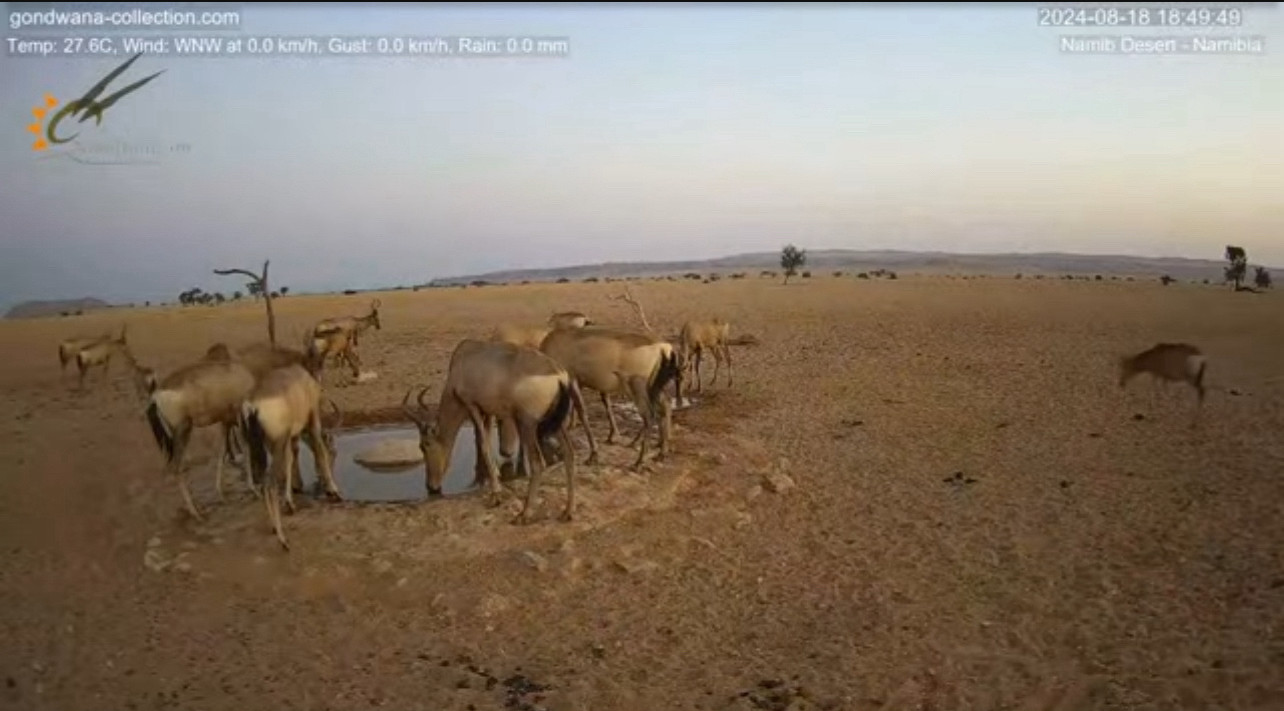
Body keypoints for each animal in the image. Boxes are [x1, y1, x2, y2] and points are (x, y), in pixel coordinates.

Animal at [145, 356, 258, 518]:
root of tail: (155, 397)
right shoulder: (238, 414)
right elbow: (246, 446)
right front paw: (253, 489)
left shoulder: (226, 421)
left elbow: (222, 452)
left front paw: (221, 494)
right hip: (183, 430)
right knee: (175, 467)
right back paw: (197, 514)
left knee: (168, 468)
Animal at [240, 361, 344, 544]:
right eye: (334, 452)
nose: (321, 483)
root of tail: (252, 405)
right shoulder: (312, 421)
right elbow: (319, 450)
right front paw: (334, 491)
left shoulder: (290, 437)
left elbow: (291, 459)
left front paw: (291, 499)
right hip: (277, 442)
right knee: (269, 481)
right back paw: (282, 537)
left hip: (256, 443)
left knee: (262, 475)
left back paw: (274, 526)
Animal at [405, 338, 577, 521]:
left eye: (424, 445)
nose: (431, 486)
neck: (463, 358)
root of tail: (559, 375)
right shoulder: (486, 411)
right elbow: (485, 441)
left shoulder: (471, 405)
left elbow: (483, 443)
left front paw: (496, 496)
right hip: (557, 422)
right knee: (569, 453)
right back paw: (567, 511)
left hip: (527, 423)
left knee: (538, 463)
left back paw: (524, 514)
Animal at [539, 323, 683, 467]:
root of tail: (664, 347)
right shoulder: (580, 384)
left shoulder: (572, 380)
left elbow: (582, 413)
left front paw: (593, 454)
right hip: (655, 387)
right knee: (665, 405)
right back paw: (659, 452)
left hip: (638, 387)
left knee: (650, 415)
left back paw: (639, 461)